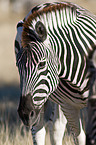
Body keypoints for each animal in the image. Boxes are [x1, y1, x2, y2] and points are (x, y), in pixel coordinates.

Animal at [14, 1, 95, 145]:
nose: (24, 114)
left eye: (41, 64)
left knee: (56, 127)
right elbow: (80, 138)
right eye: (18, 66)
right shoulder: (69, 106)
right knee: (40, 129)